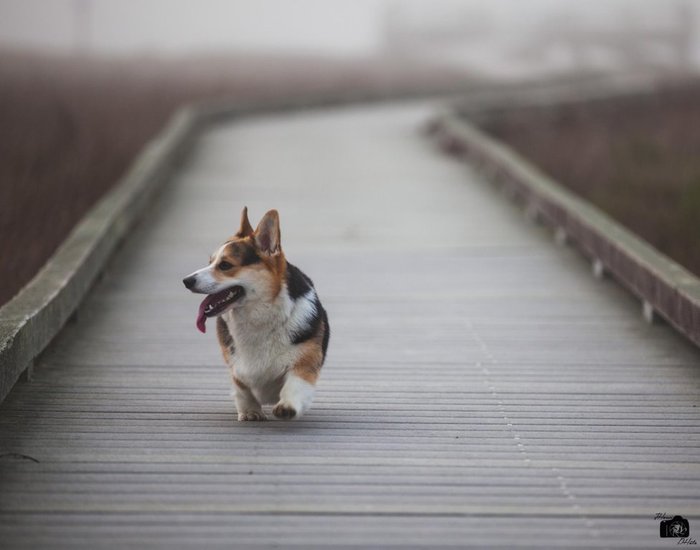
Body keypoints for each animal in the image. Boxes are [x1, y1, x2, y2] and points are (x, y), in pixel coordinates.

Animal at [183, 208, 330, 422]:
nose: (186, 281)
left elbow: (295, 384)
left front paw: (287, 406)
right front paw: (250, 411)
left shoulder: (305, 362)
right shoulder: (236, 367)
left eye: (225, 265)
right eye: (210, 262)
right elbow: (242, 389)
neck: (258, 317)